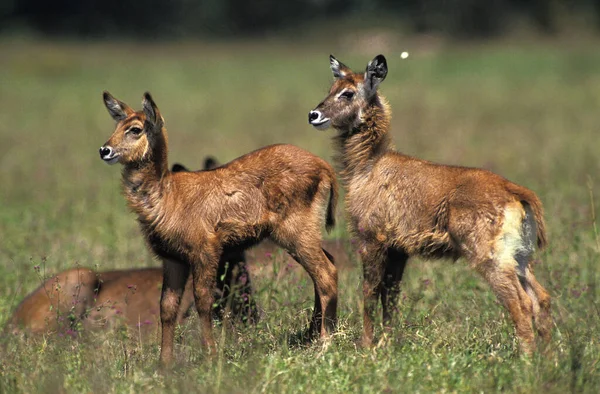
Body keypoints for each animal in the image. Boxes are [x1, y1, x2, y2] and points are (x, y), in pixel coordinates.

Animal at [101, 91, 340, 364]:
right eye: (116, 125)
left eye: (135, 129)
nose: (104, 150)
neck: (167, 197)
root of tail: (324, 166)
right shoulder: (173, 259)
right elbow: (167, 307)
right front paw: (164, 365)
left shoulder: (206, 251)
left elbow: (205, 301)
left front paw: (211, 356)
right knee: (326, 266)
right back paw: (313, 335)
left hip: (295, 232)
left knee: (325, 273)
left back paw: (324, 343)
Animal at [310, 55, 552, 354]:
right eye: (331, 88)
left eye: (348, 92)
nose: (313, 115)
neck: (368, 166)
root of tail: (516, 192)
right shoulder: (399, 250)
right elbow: (391, 296)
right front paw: (387, 344)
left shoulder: (372, 239)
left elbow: (370, 291)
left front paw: (367, 345)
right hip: (520, 257)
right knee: (542, 298)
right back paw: (550, 358)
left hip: (491, 258)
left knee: (521, 302)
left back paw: (527, 359)